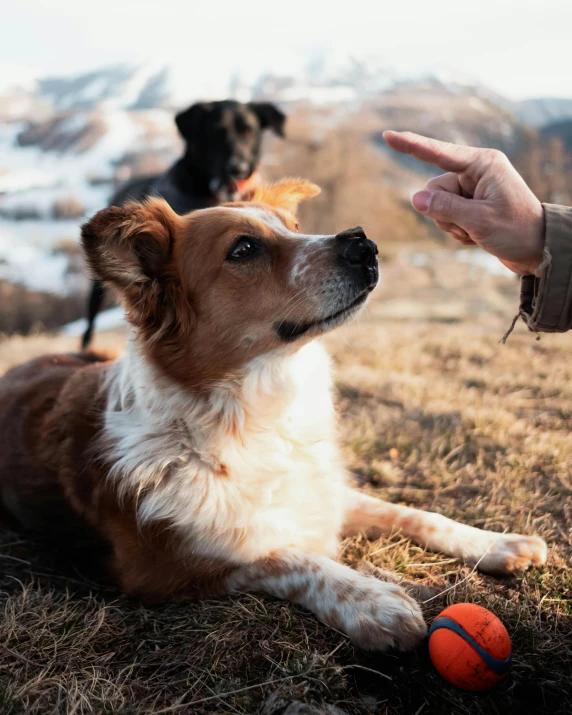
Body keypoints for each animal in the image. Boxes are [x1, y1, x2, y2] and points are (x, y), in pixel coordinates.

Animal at [0, 182, 548, 652]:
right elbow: (284, 556)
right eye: (243, 249)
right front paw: (371, 601)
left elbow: (412, 512)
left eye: (293, 226)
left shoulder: (324, 493)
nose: (364, 244)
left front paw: (496, 542)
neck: (253, 417)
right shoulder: (164, 565)